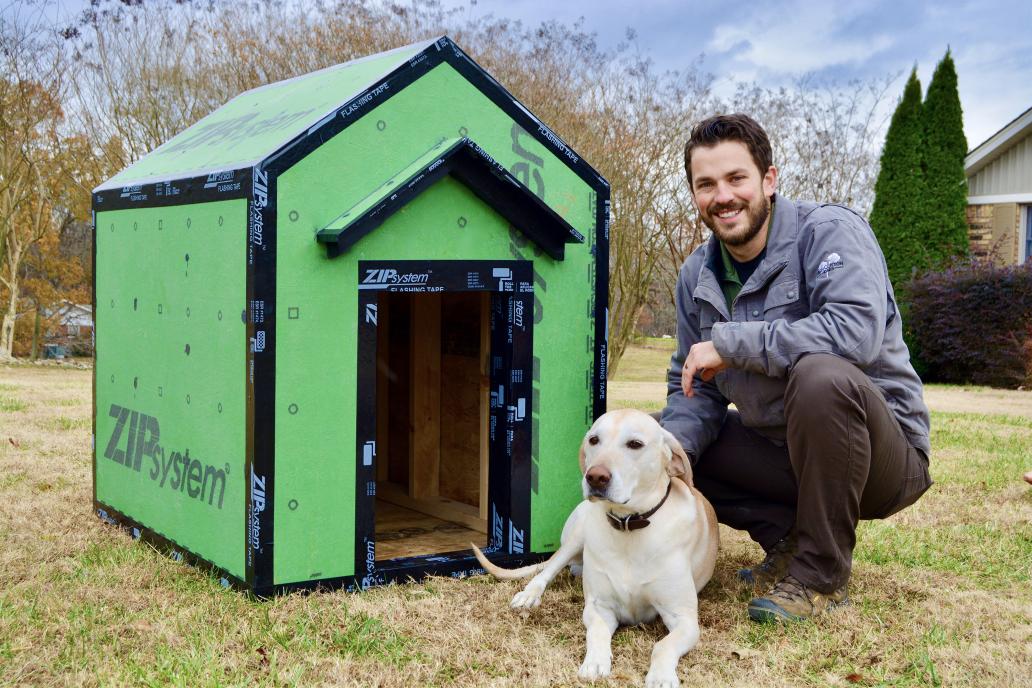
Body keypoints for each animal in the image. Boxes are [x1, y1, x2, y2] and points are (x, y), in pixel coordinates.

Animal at [472, 408, 718, 688]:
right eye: (594, 440)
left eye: (635, 444)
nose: (595, 477)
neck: (628, 525)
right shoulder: (598, 607)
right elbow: (598, 632)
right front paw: (595, 662)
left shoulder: (684, 619)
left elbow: (663, 646)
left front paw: (661, 676)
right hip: (576, 537)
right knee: (546, 571)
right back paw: (529, 594)